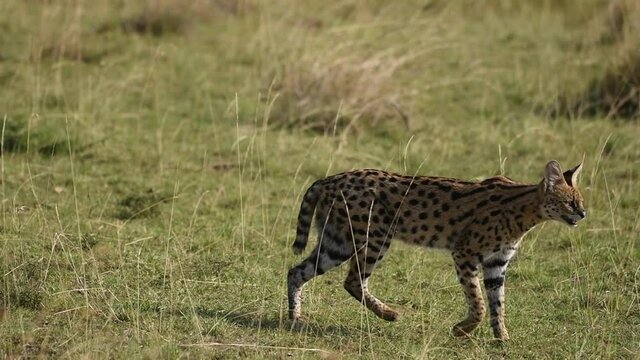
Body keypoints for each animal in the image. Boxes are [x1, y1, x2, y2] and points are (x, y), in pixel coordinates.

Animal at [288, 160, 584, 340]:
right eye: (570, 202)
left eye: (581, 200)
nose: (583, 214)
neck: (526, 212)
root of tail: (329, 179)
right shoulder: (465, 253)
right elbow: (478, 302)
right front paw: (463, 330)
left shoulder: (497, 263)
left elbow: (497, 302)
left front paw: (502, 337)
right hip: (372, 238)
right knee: (352, 280)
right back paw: (388, 313)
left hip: (338, 242)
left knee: (297, 271)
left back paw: (295, 318)